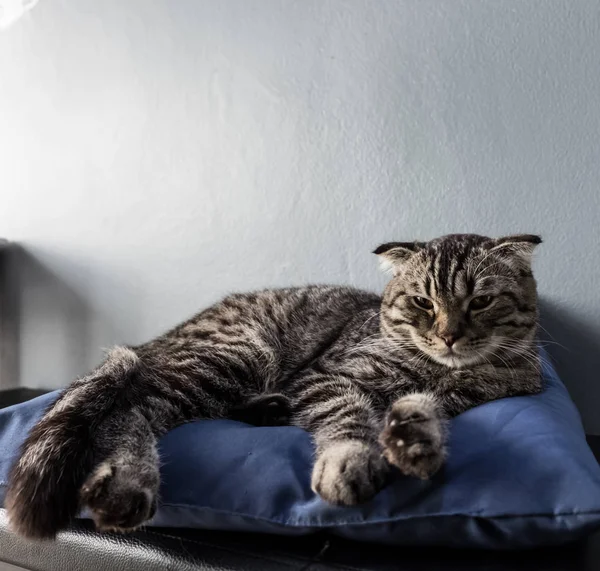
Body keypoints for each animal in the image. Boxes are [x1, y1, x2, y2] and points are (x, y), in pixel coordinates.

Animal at [4, 233, 544, 540]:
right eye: (422, 302)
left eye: (481, 302)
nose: (449, 335)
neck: (441, 369)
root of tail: (156, 340)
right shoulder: (329, 377)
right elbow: (349, 416)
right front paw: (351, 459)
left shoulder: (467, 397)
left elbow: (425, 410)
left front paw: (414, 437)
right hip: (235, 354)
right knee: (134, 408)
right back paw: (127, 482)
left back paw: (269, 409)